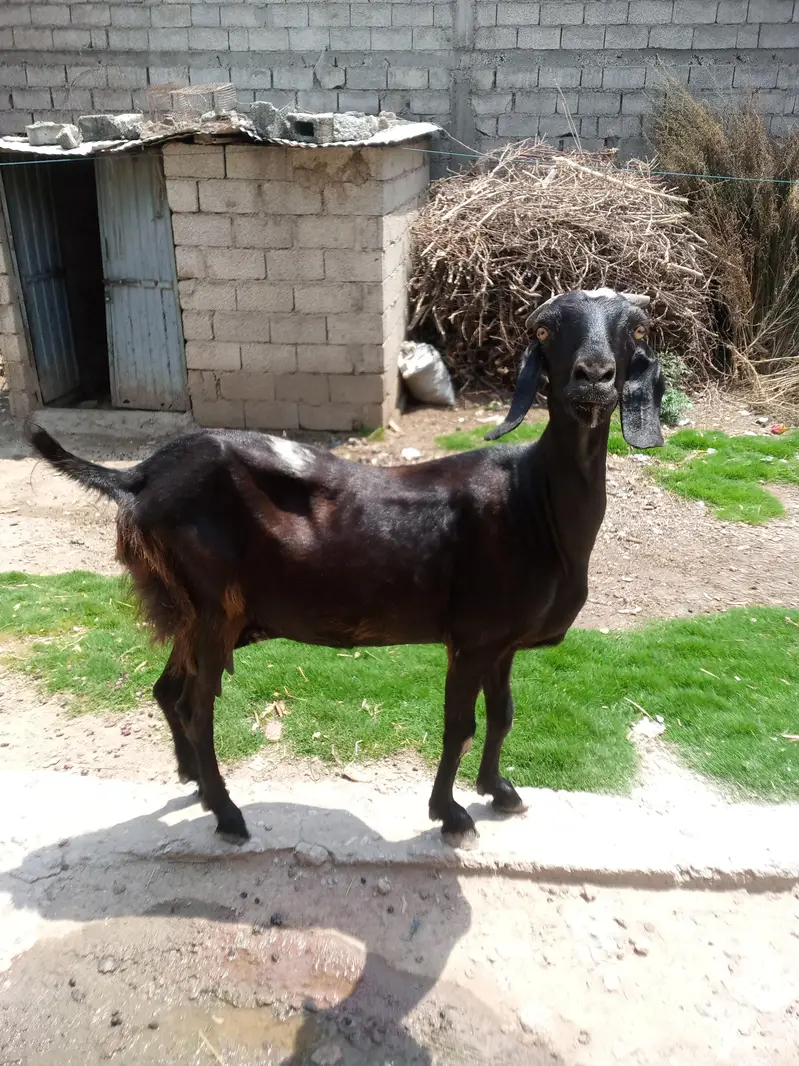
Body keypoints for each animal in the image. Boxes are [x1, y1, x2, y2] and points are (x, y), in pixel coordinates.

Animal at [28, 289, 664, 847]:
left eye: (635, 330)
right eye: (547, 332)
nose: (593, 376)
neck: (534, 500)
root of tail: (138, 477)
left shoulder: (502, 642)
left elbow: (503, 715)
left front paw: (500, 791)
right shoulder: (472, 637)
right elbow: (460, 724)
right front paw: (450, 814)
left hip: (196, 612)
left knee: (167, 689)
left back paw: (199, 788)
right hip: (210, 607)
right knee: (193, 705)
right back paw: (229, 814)